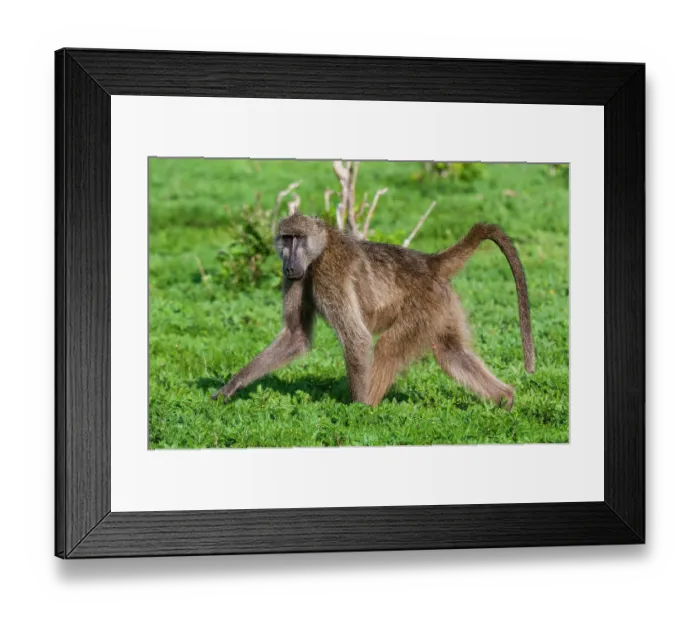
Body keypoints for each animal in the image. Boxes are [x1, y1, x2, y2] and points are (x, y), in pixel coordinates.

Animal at [212, 213, 535, 409]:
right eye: (285, 239)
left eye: (298, 239)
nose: (289, 265)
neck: (320, 250)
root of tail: (429, 262)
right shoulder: (296, 279)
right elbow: (295, 336)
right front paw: (231, 386)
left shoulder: (330, 274)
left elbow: (356, 338)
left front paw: (356, 411)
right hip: (442, 305)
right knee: (450, 352)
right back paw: (505, 399)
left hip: (424, 306)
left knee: (388, 347)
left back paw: (371, 408)